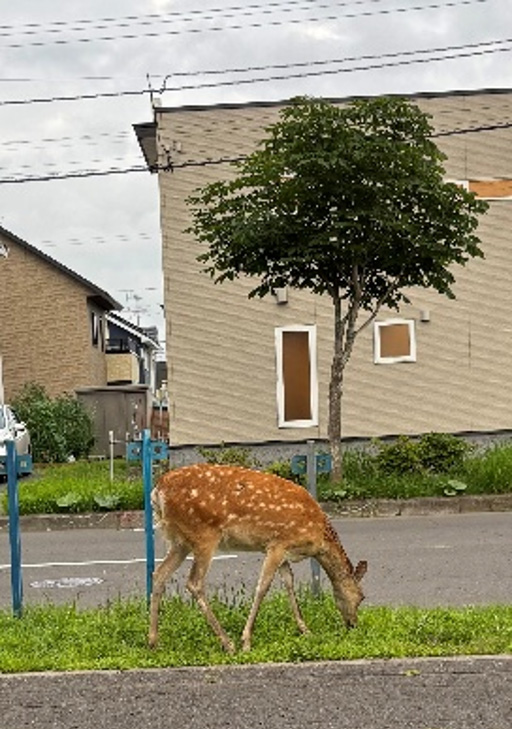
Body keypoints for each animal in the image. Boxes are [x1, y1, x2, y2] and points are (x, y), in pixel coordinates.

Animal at [148, 463, 367, 653]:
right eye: (361, 597)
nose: (353, 624)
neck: (319, 538)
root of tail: (157, 491)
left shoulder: (279, 549)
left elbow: (289, 582)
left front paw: (305, 630)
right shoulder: (278, 543)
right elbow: (263, 587)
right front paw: (246, 641)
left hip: (180, 541)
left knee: (158, 574)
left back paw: (153, 641)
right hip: (203, 534)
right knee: (194, 583)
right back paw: (228, 643)